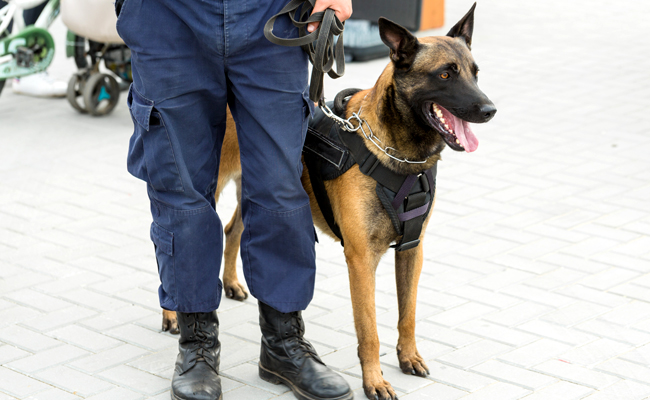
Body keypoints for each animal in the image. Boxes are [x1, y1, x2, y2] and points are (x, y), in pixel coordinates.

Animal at [163, 4, 496, 398]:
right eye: (445, 74)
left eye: (475, 73)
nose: (490, 109)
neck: (394, 153)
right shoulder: (361, 259)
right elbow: (369, 330)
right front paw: (374, 381)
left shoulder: (412, 248)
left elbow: (408, 314)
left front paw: (408, 356)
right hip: (206, 189)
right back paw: (171, 314)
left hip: (262, 190)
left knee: (232, 230)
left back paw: (230, 282)